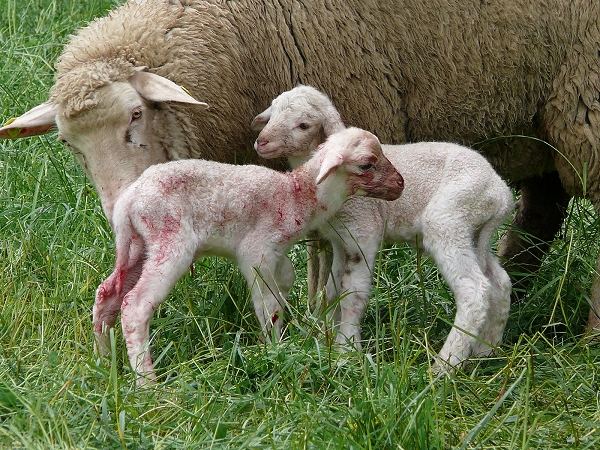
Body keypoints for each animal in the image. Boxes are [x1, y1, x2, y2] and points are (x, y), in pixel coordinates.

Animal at [1, 0, 600, 330]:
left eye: (135, 115)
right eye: (70, 144)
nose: (123, 207)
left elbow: (322, 256)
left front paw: (319, 318)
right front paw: (313, 318)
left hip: (586, 104)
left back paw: (588, 333)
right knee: (539, 214)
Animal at [92, 126, 404, 384]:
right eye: (366, 164)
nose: (400, 184)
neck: (296, 195)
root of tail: (128, 201)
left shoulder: (276, 252)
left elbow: (286, 278)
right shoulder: (257, 251)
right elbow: (269, 305)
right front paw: (275, 350)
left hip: (137, 246)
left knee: (106, 293)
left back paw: (105, 360)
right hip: (169, 240)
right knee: (135, 305)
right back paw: (147, 383)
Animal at [253, 86, 516, 370]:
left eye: (303, 125)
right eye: (272, 114)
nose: (261, 142)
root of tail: (501, 194)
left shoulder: (363, 230)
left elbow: (353, 291)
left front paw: (347, 351)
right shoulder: (340, 239)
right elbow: (332, 289)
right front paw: (324, 338)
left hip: (450, 219)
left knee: (474, 289)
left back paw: (444, 365)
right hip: (475, 231)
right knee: (500, 282)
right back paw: (486, 350)